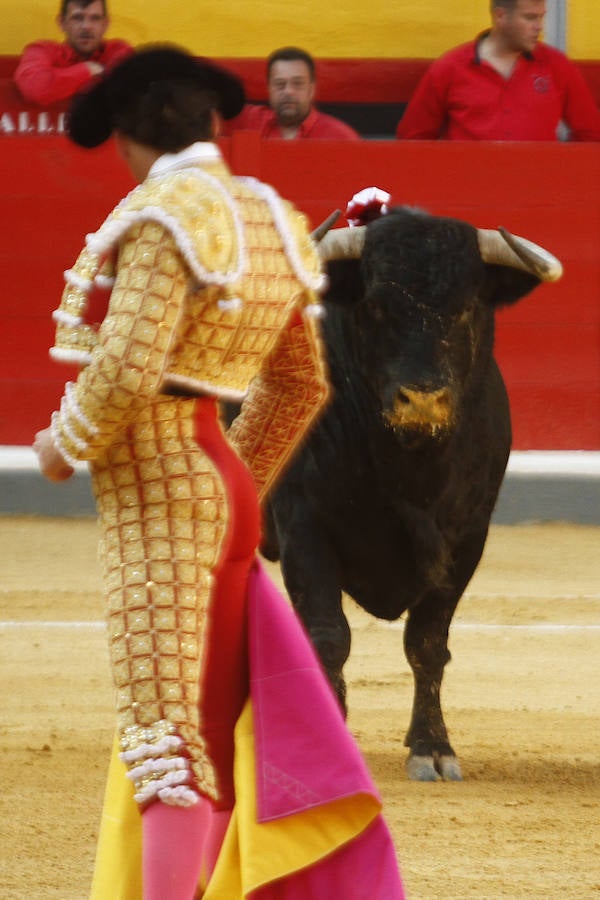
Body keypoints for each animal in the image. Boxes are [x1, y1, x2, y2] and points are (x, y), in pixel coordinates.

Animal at [227, 207, 560, 784]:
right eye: (377, 305)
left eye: (467, 306)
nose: (422, 400)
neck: (410, 463)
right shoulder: (304, 528)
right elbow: (329, 635)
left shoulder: (465, 540)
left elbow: (427, 643)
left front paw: (432, 747)